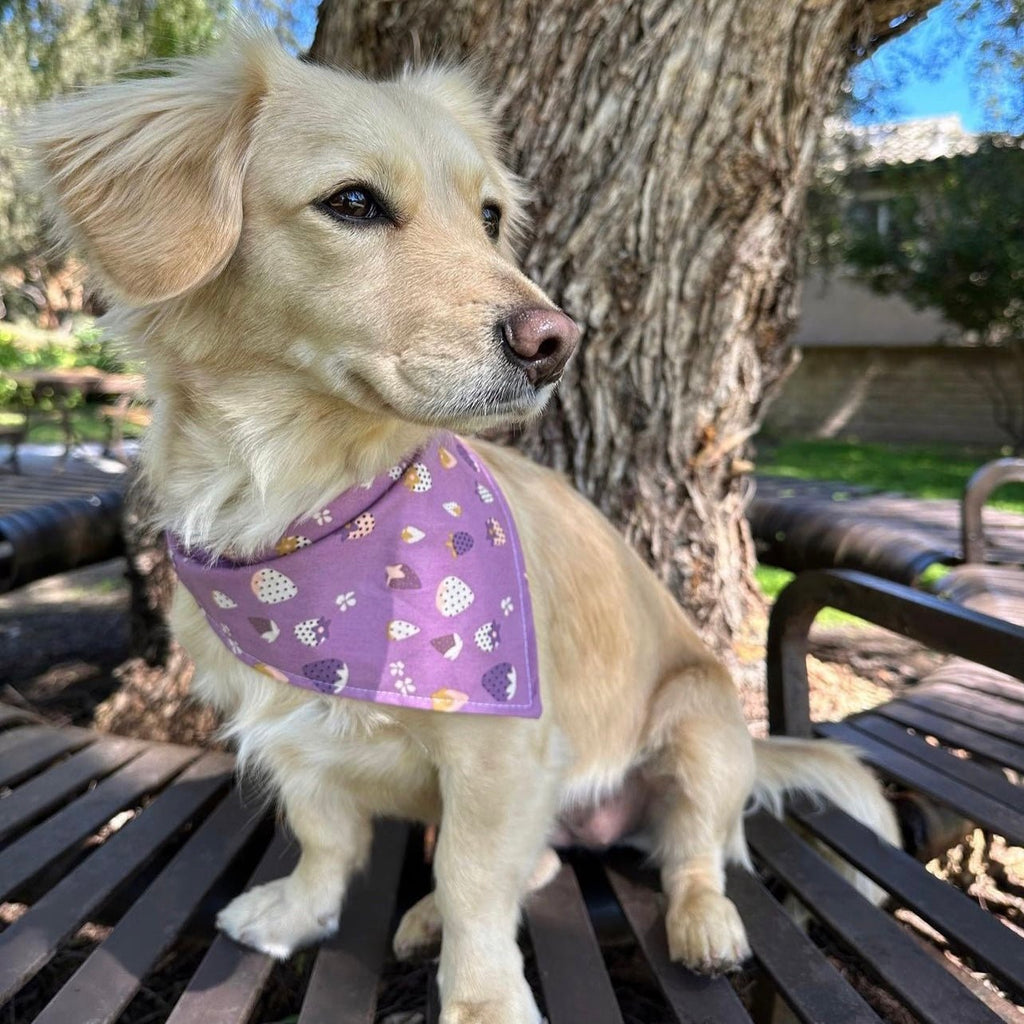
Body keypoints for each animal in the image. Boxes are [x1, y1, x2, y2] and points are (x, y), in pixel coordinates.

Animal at [28, 32, 901, 1024]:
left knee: (695, 854)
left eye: (488, 216)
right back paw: (426, 918)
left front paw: (482, 1000)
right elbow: (329, 839)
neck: (305, 506)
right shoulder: (298, 740)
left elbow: (476, 880)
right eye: (353, 202)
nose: (557, 341)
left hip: (701, 728)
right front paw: (302, 910)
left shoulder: (500, 752)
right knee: (547, 862)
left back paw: (701, 923)